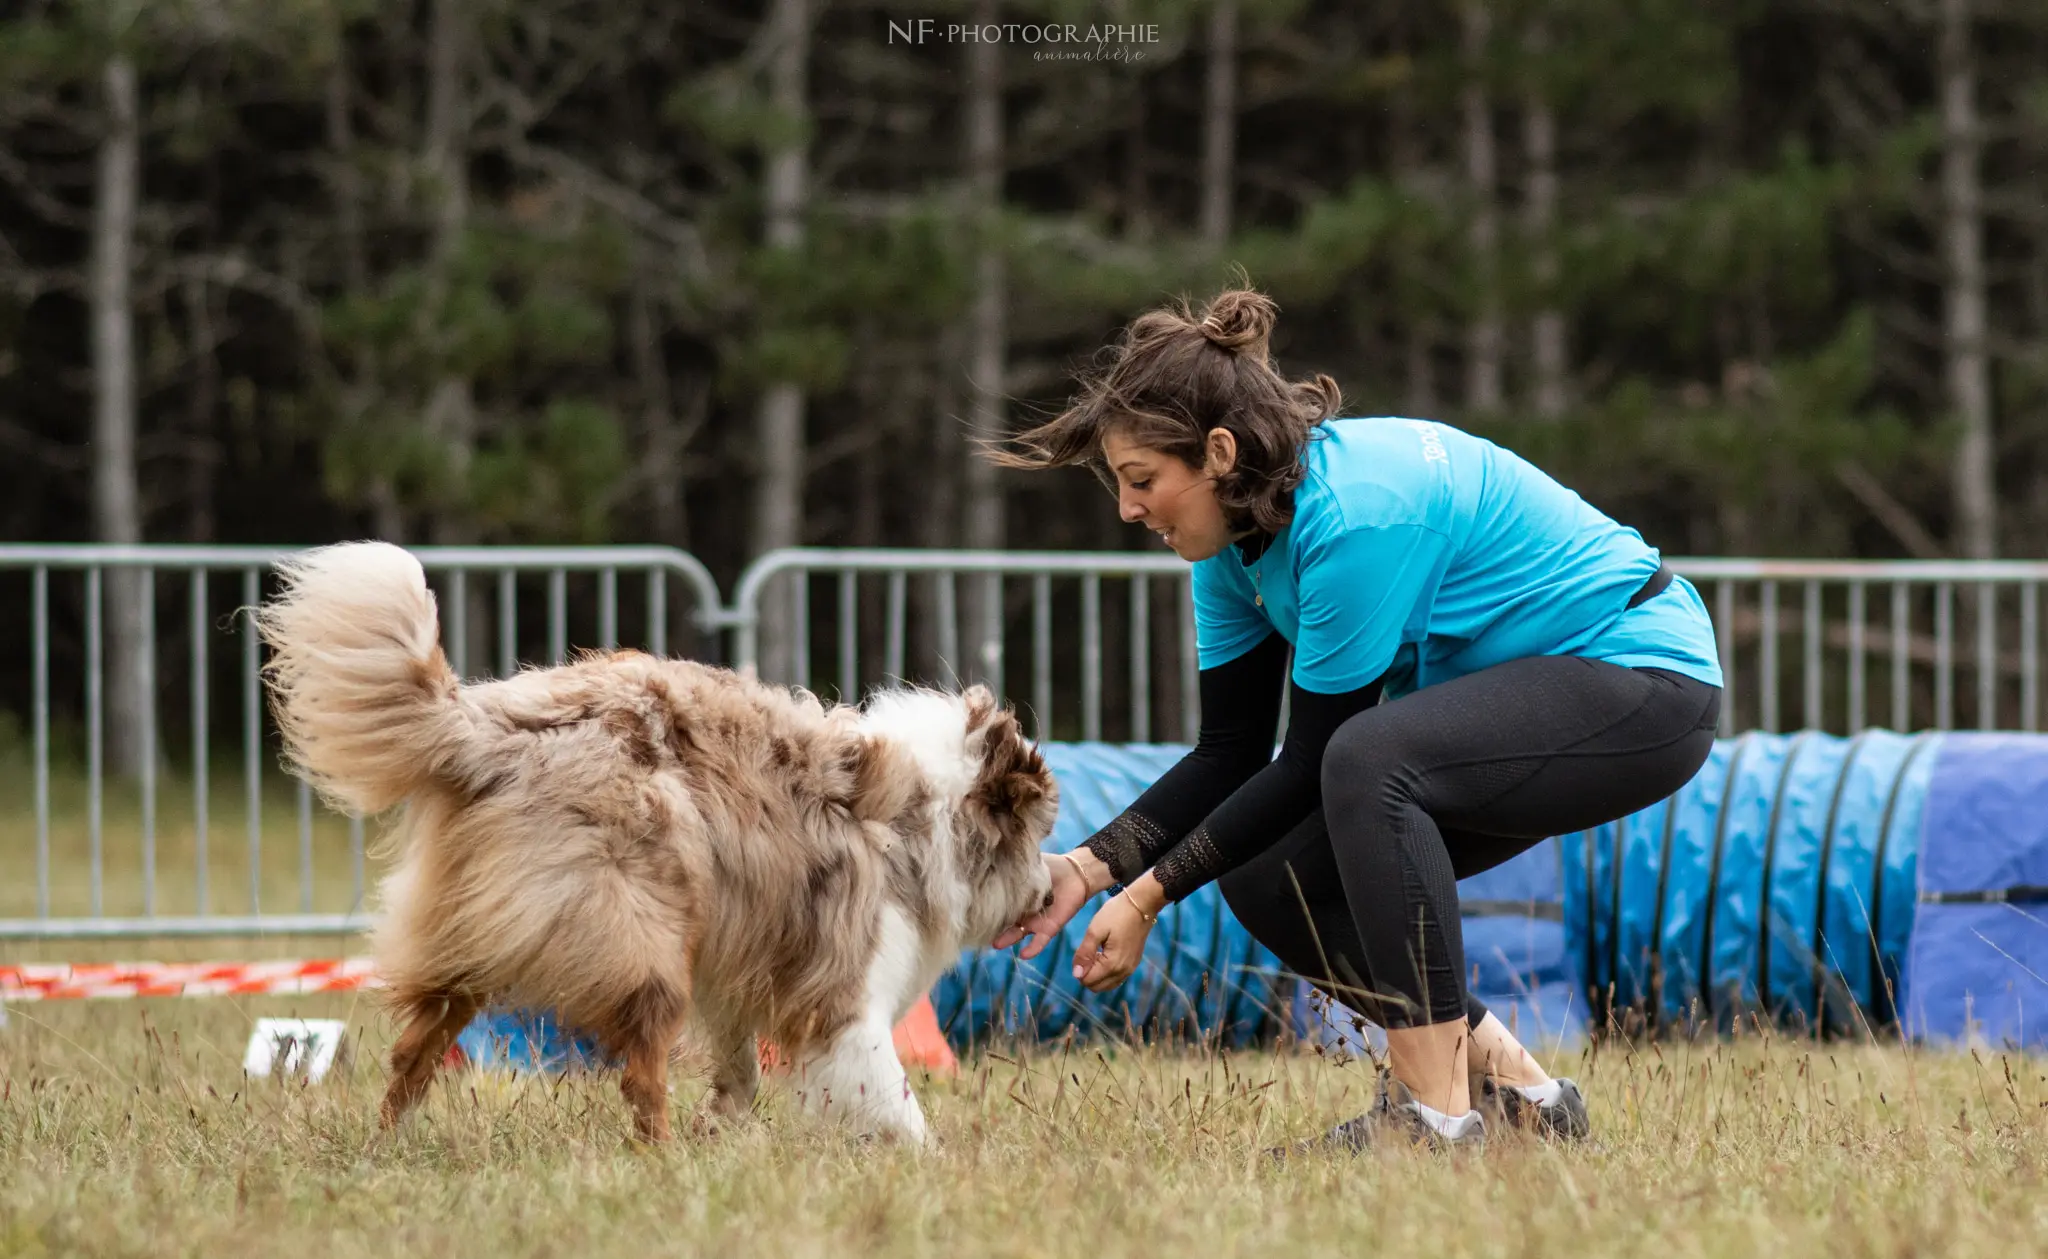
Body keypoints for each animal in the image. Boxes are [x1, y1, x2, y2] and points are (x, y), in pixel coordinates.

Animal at [256, 540, 1056, 1146]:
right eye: (1039, 833)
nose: (1054, 891)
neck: (930, 813)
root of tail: (489, 730)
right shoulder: (844, 990)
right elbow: (891, 1094)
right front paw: (932, 1162)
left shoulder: (741, 970)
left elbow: (742, 1067)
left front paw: (726, 1126)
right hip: (637, 927)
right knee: (641, 1064)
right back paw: (659, 1154)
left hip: (477, 923)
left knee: (414, 1047)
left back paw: (386, 1140)